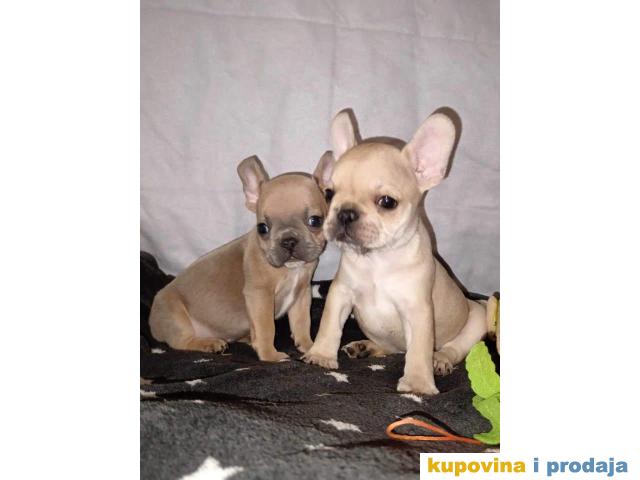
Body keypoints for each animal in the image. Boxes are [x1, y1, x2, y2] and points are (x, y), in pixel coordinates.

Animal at [149, 155, 328, 362]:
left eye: (315, 221)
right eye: (262, 228)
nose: (288, 240)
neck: (291, 269)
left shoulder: (301, 294)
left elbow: (302, 323)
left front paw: (310, 347)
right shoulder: (259, 295)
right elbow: (266, 327)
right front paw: (270, 355)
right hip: (174, 315)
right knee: (182, 341)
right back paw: (210, 344)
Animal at [303, 110, 488, 394]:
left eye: (387, 202)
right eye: (329, 193)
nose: (345, 213)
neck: (378, 259)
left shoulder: (418, 311)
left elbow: (419, 351)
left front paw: (418, 384)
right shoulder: (340, 293)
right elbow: (329, 325)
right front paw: (321, 354)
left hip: (477, 317)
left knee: (453, 348)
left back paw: (440, 360)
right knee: (392, 349)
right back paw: (365, 347)